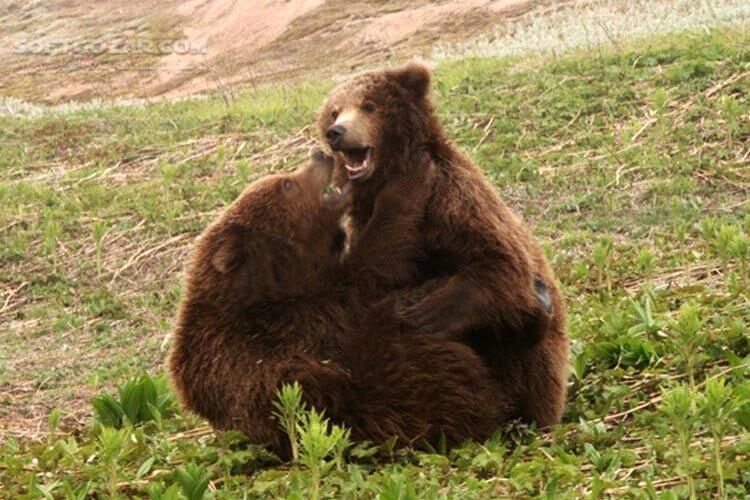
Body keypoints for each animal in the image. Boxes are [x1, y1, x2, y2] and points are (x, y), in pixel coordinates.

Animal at [317, 61, 570, 427]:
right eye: (335, 111)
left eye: (369, 105)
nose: (336, 132)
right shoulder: (371, 228)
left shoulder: (453, 201)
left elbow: (499, 262)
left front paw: (429, 313)